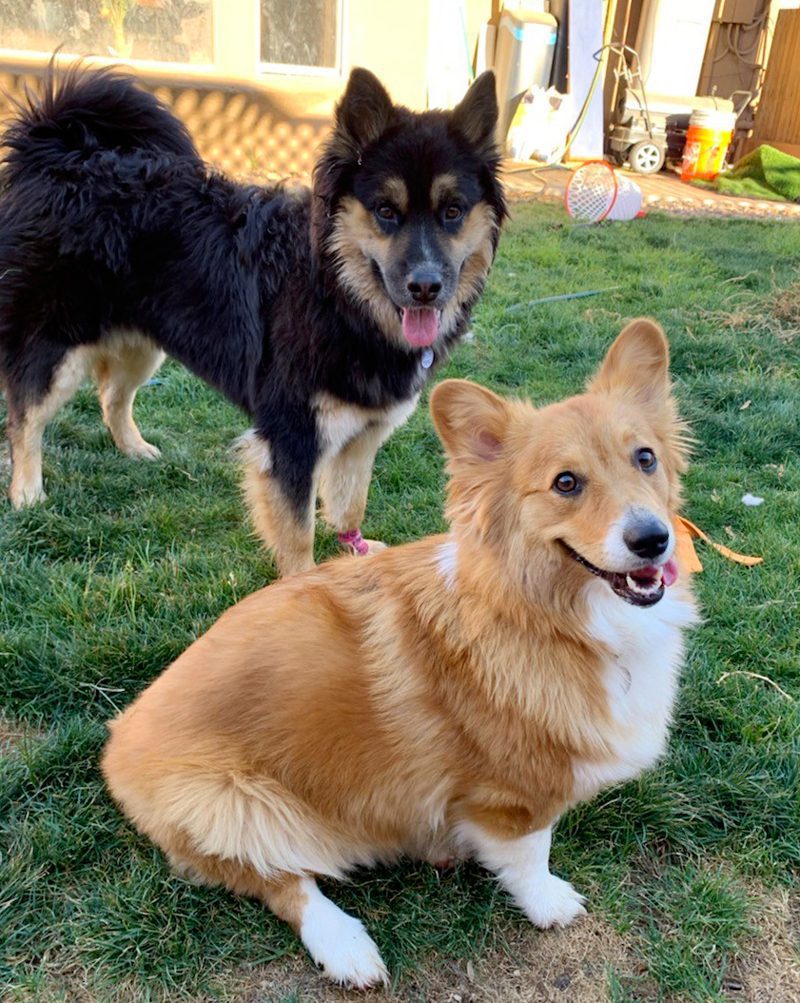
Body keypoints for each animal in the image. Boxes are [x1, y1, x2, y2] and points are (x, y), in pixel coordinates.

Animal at [0, 64, 507, 573]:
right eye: (386, 210)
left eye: (453, 211)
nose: (425, 286)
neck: (336, 296)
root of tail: (60, 156)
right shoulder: (291, 435)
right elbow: (298, 533)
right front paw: (303, 584)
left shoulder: (363, 433)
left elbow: (350, 502)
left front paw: (354, 550)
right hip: (55, 346)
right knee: (26, 417)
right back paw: (27, 493)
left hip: (143, 344)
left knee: (111, 396)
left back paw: (134, 448)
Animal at [103, 318, 697, 986]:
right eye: (565, 483)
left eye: (645, 458)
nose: (653, 539)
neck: (547, 615)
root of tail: (118, 738)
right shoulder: (513, 796)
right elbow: (530, 855)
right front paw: (550, 904)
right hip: (238, 807)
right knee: (281, 882)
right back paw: (348, 947)